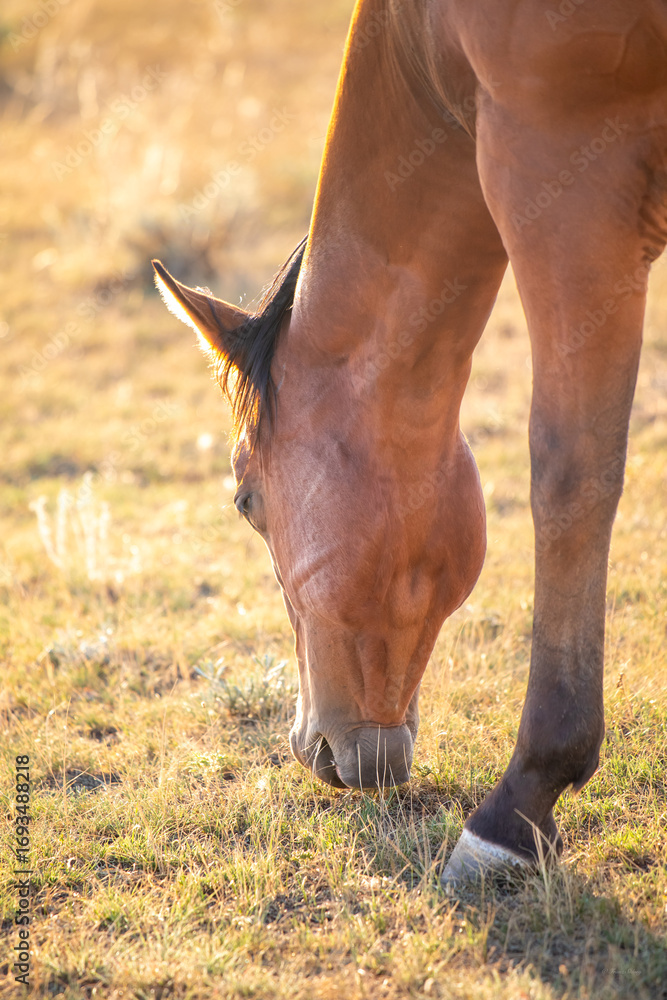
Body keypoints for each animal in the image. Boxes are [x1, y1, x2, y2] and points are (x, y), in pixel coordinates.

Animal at [153, 0, 667, 887]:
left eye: (245, 500)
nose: (312, 748)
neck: (423, 40)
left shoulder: (566, 188)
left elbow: (569, 473)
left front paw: (517, 807)